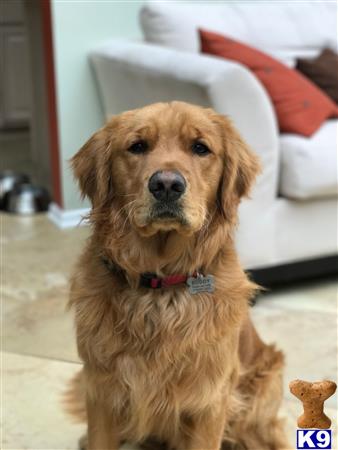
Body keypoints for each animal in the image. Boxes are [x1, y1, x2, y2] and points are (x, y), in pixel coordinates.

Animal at [67, 102, 290, 450]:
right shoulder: (102, 391)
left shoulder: (209, 401)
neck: (160, 286)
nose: (167, 185)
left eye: (200, 148)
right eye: (137, 146)